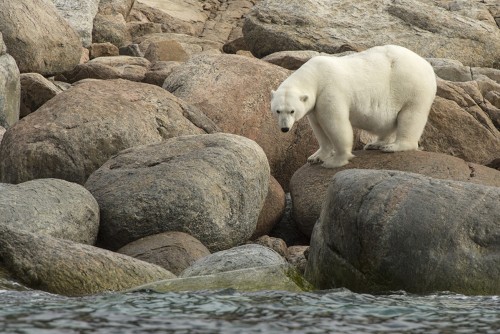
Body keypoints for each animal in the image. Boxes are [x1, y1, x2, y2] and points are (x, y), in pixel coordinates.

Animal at [272, 44, 436, 168]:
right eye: (278, 111)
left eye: (292, 111)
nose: (284, 128)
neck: (315, 75)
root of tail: (428, 67)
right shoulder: (315, 105)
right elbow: (318, 128)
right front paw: (316, 157)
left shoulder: (329, 91)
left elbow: (335, 124)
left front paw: (335, 161)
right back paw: (375, 144)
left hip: (412, 87)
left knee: (411, 116)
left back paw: (394, 146)